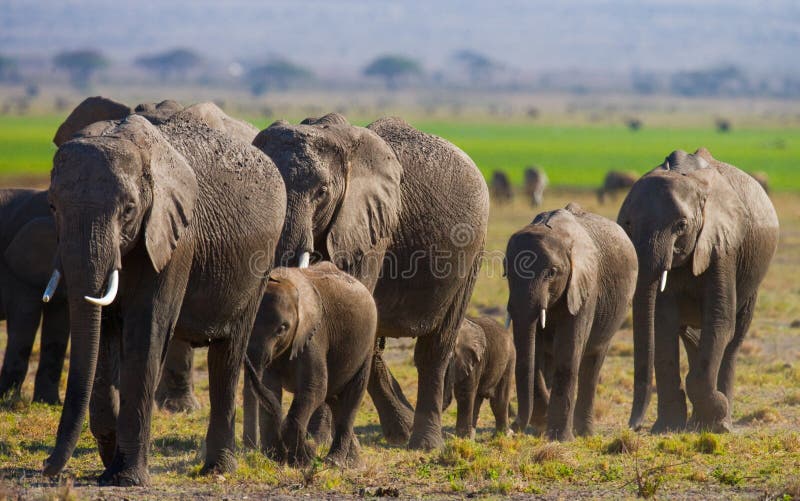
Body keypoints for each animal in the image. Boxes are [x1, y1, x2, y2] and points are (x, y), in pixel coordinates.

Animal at [244, 264, 376, 466]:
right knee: (334, 400)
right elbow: (270, 388)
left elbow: (314, 388)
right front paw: (281, 459)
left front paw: (303, 461)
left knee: (351, 397)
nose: (312, 450)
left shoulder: (314, 335)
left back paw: (335, 462)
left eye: (282, 328)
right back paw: (354, 463)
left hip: (366, 346)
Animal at [250, 113, 488, 450]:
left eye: (322, 192)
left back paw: (424, 444)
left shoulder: (370, 229)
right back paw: (401, 430)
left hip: (472, 254)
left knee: (436, 346)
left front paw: (317, 441)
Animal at [506, 201, 636, 440]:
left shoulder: (585, 288)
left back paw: (584, 433)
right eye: (506, 272)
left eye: (551, 273)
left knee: (592, 365)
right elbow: (535, 352)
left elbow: (567, 352)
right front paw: (542, 422)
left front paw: (559, 438)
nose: (512, 427)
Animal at [620, 148, 780, 434]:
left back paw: (722, 422)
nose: (633, 426)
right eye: (627, 224)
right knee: (693, 339)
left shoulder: (723, 244)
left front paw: (718, 413)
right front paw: (667, 428)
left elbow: (719, 320)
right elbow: (663, 324)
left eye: (681, 225)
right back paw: (698, 423)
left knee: (733, 339)